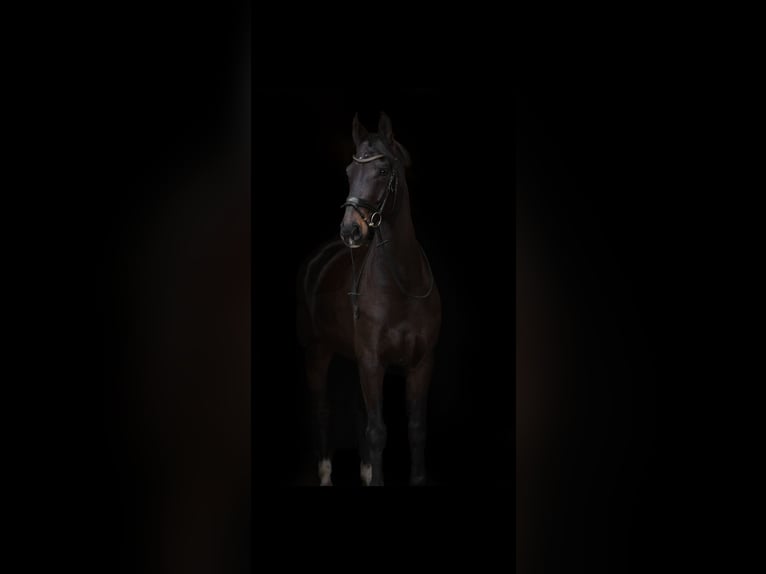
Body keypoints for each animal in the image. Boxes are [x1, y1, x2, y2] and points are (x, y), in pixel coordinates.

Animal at [296, 112, 441, 486]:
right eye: (349, 171)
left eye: (382, 170)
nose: (351, 230)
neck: (402, 283)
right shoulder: (373, 362)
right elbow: (377, 431)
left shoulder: (420, 364)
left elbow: (416, 428)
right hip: (317, 352)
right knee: (322, 411)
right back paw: (326, 475)